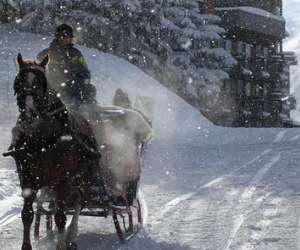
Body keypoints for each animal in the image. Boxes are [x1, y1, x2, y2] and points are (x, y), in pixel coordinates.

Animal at [5, 53, 101, 249]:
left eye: (41, 82)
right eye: (19, 81)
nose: (29, 114)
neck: (41, 140)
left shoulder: (62, 180)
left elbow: (61, 216)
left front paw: (62, 243)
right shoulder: (27, 179)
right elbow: (27, 214)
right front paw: (27, 245)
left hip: (82, 178)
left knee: (78, 203)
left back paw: (71, 235)